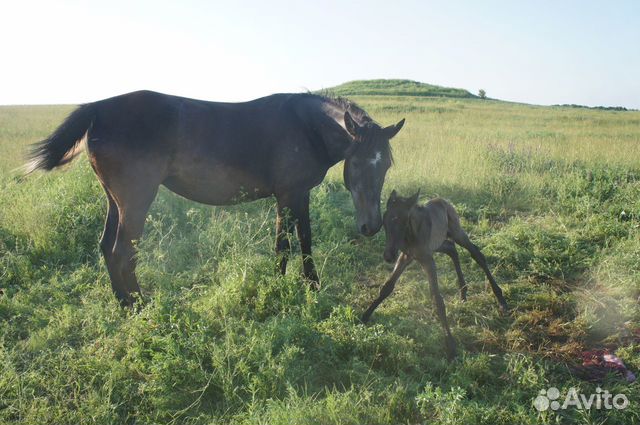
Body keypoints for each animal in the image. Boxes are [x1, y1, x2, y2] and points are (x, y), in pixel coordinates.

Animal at [27, 91, 404, 306]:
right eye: (356, 163)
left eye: (385, 164)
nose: (371, 226)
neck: (305, 126)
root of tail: (98, 108)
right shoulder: (290, 195)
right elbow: (289, 244)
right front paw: (287, 287)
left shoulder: (296, 196)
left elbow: (299, 242)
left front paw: (304, 285)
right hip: (136, 201)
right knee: (122, 252)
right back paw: (137, 306)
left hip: (114, 201)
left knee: (107, 247)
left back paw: (123, 302)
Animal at [362, 190, 508, 360]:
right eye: (385, 222)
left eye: (404, 221)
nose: (388, 256)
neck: (411, 236)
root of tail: (443, 201)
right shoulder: (406, 256)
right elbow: (387, 287)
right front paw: (365, 315)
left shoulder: (427, 260)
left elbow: (437, 299)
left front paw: (450, 345)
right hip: (439, 243)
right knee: (451, 249)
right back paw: (463, 291)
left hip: (457, 232)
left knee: (476, 254)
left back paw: (500, 298)